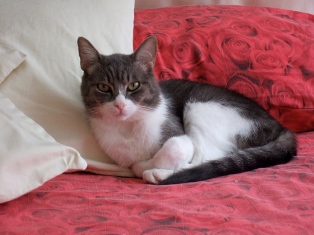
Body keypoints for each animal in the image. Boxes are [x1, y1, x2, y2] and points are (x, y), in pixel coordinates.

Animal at [77, 35, 296, 185]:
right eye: (103, 87)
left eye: (133, 85)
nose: (120, 105)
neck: (128, 128)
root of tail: (280, 126)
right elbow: (134, 162)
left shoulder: (179, 134)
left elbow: (170, 151)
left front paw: (150, 165)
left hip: (200, 106)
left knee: (205, 157)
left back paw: (159, 174)